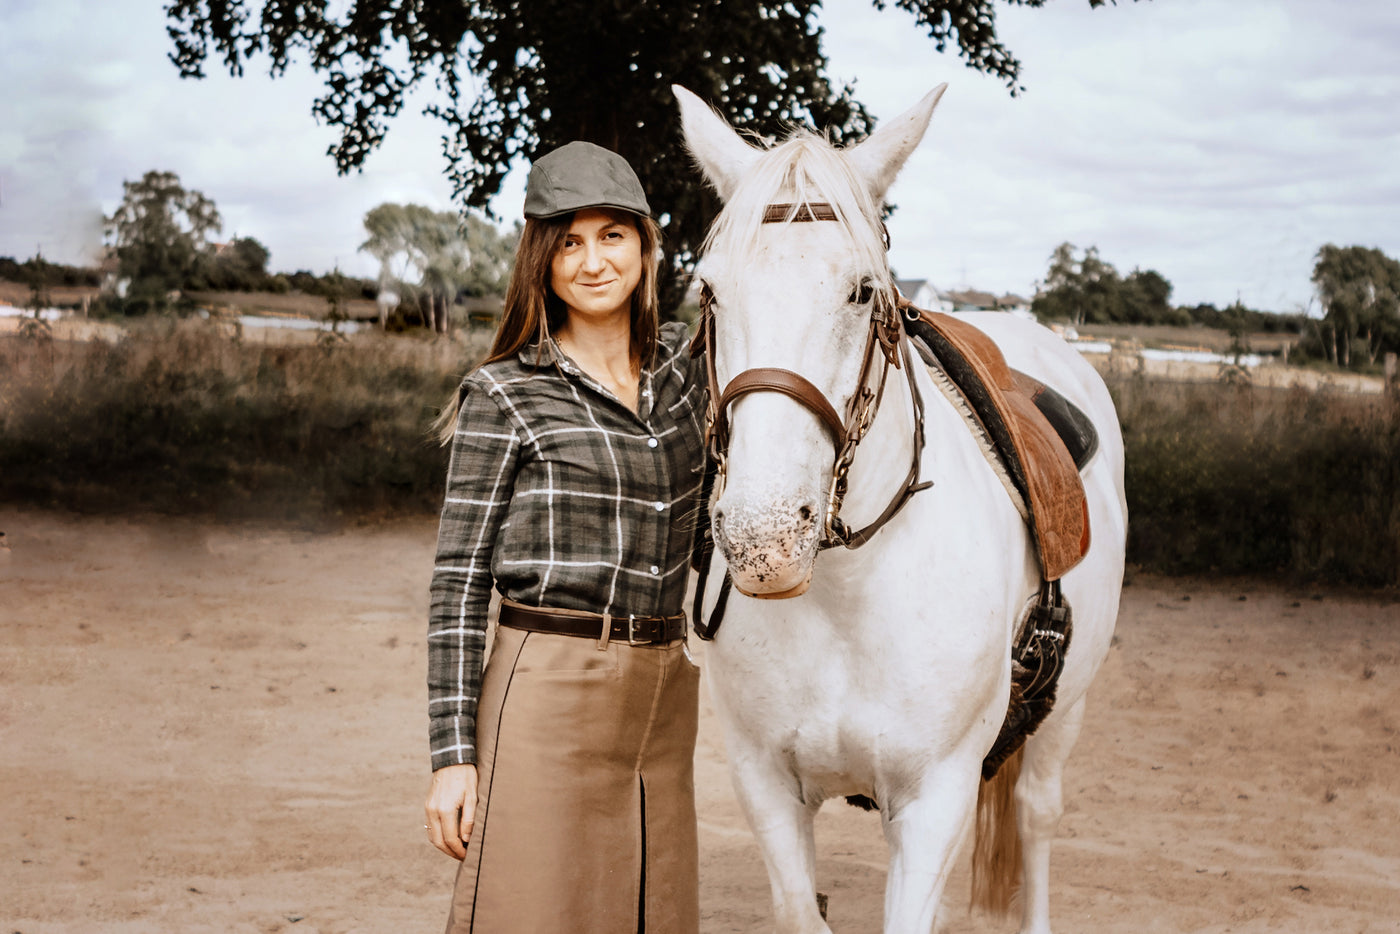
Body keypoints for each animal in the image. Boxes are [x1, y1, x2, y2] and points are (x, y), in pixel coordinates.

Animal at [674, 82, 1125, 934]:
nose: (762, 539)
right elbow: (799, 907)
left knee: (1037, 816)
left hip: (1067, 710)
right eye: (710, 290)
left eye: (861, 290)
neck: (844, 597)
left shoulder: (935, 797)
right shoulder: (764, 782)